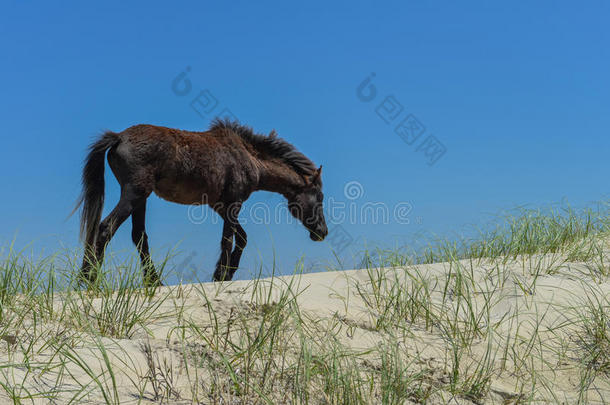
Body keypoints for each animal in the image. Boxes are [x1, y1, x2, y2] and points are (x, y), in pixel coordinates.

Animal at [73, 117, 326, 284]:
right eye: (320, 197)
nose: (323, 232)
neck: (249, 158)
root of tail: (118, 137)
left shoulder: (221, 206)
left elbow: (241, 238)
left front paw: (227, 272)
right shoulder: (233, 204)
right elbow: (228, 239)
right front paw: (220, 275)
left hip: (140, 199)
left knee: (139, 237)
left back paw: (154, 282)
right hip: (133, 194)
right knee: (106, 227)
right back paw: (90, 280)